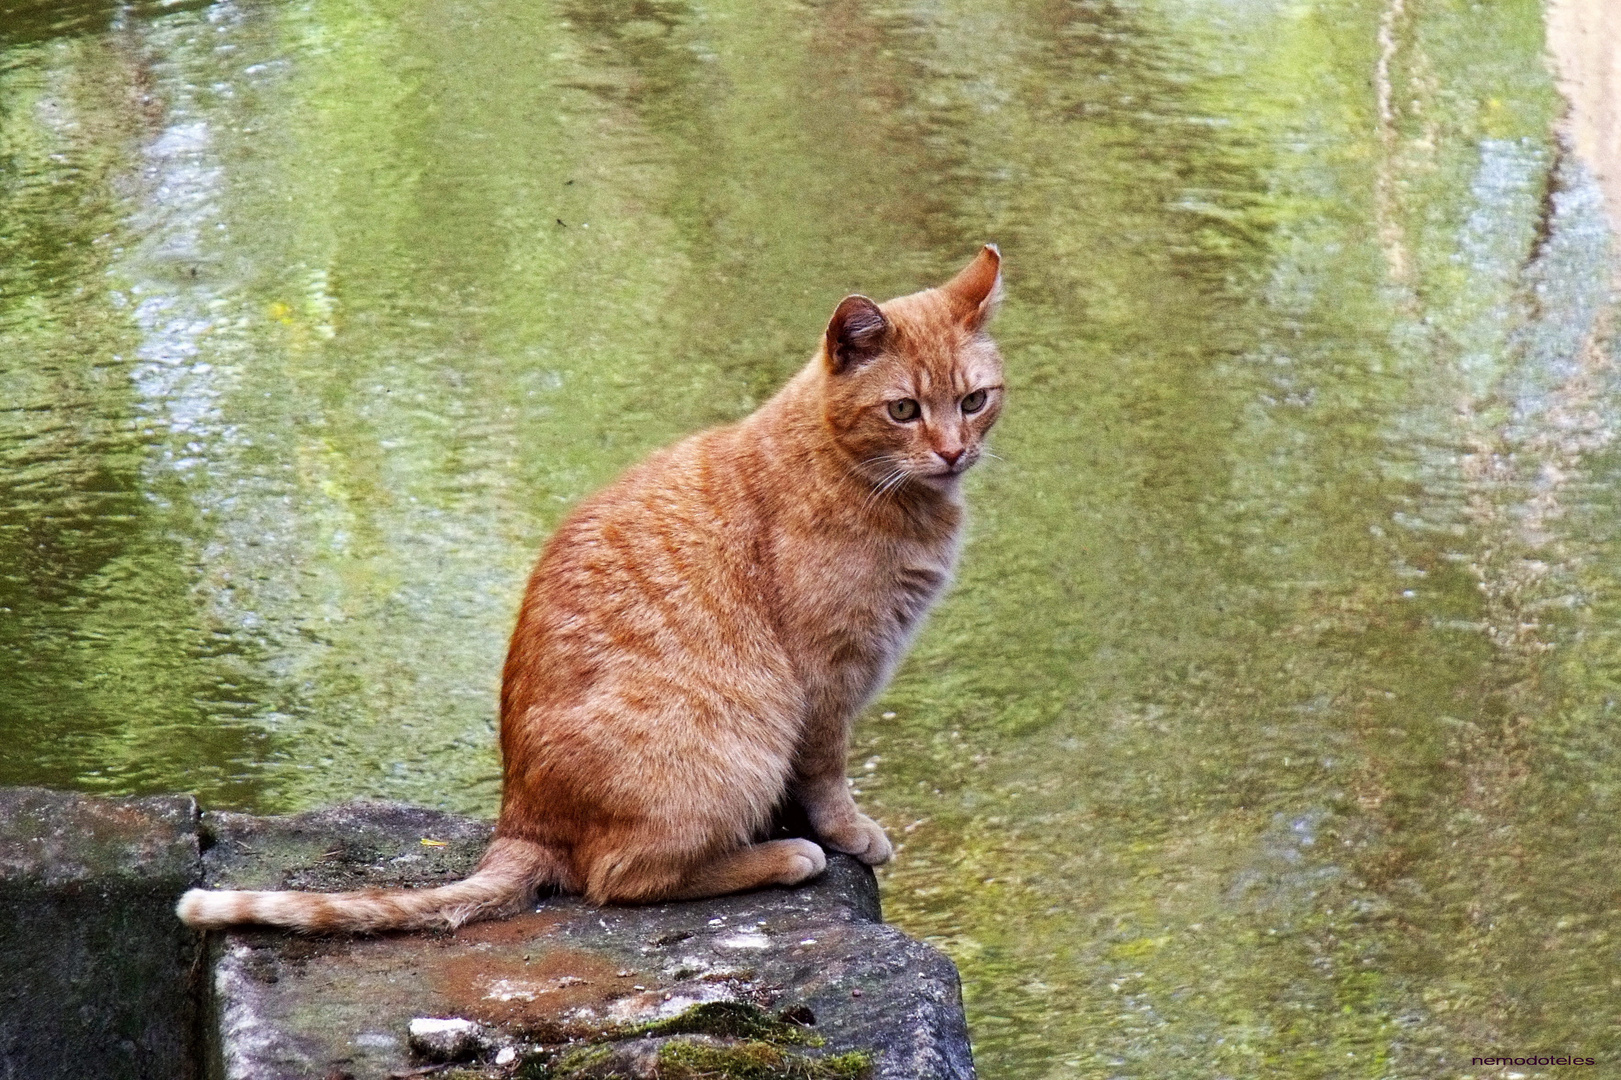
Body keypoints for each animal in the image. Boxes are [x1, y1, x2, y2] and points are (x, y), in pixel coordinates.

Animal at [183, 243, 1005, 927]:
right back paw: (779, 858)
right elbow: (827, 776)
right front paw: (845, 833)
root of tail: (518, 817)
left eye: (974, 401)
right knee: (618, 878)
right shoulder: (826, 679)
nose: (952, 452)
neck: (861, 477)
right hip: (733, 744)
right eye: (903, 410)